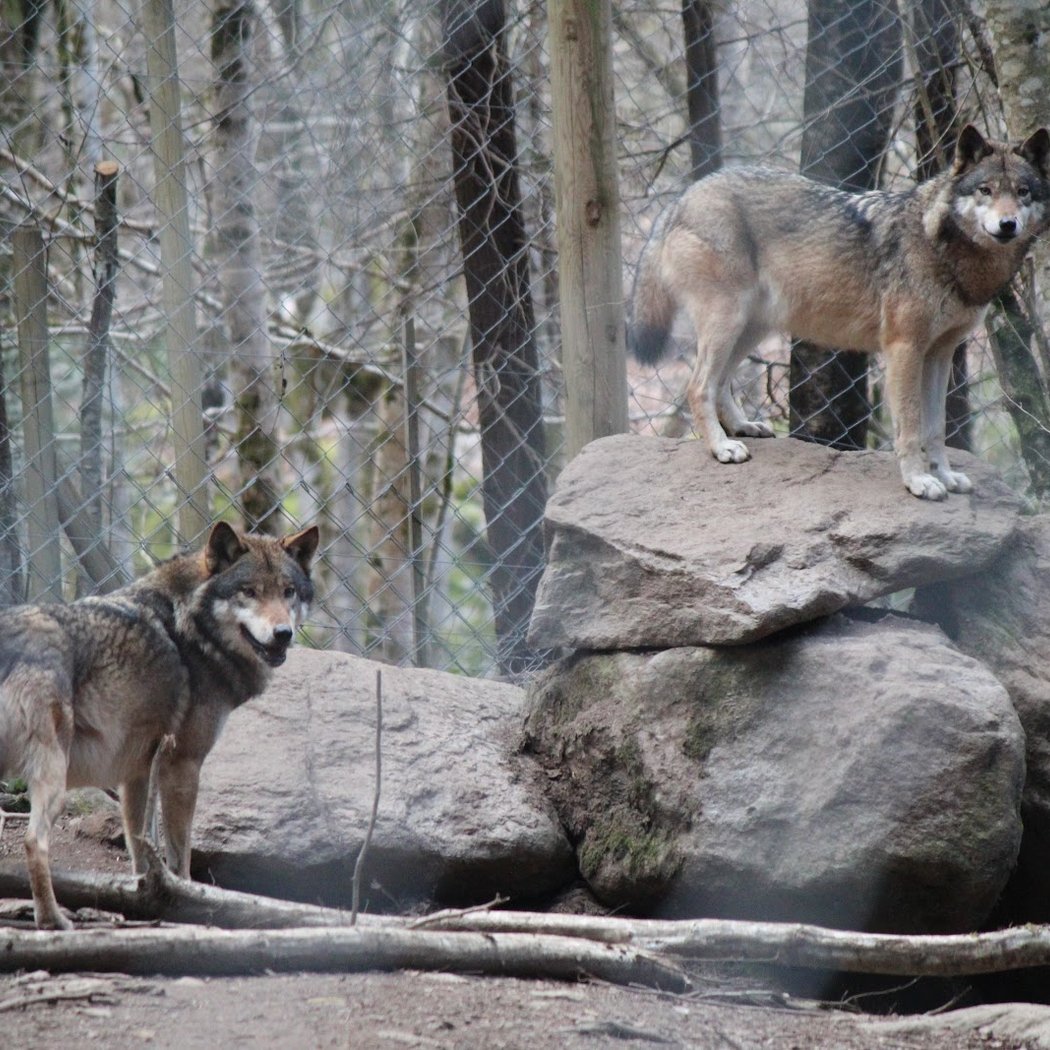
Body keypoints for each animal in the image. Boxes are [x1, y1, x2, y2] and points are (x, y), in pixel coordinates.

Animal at [0, 521, 318, 929]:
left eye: (288, 591)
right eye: (249, 591)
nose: (283, 634)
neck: (195, 626)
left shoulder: (135, 774)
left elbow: (140, 851)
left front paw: (143, 903)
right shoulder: (183, 765)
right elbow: (180, 856)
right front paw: (188, 905)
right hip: (54, 777)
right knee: (33, 842)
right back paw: (53, 920)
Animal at [629, 125, 1050, 499]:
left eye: (1022, 192)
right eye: (986, 190)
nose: (1008, 224)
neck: (942, 248)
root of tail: (683, 196)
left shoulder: (941, 354)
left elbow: (936, 428)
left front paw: (945, 476)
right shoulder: (904, 349)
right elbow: (912, 426)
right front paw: (919, 482)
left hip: (751, 329)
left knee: (720, 384)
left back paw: (743, 427)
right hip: (728, 323)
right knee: (699, 385)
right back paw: (721, 448)